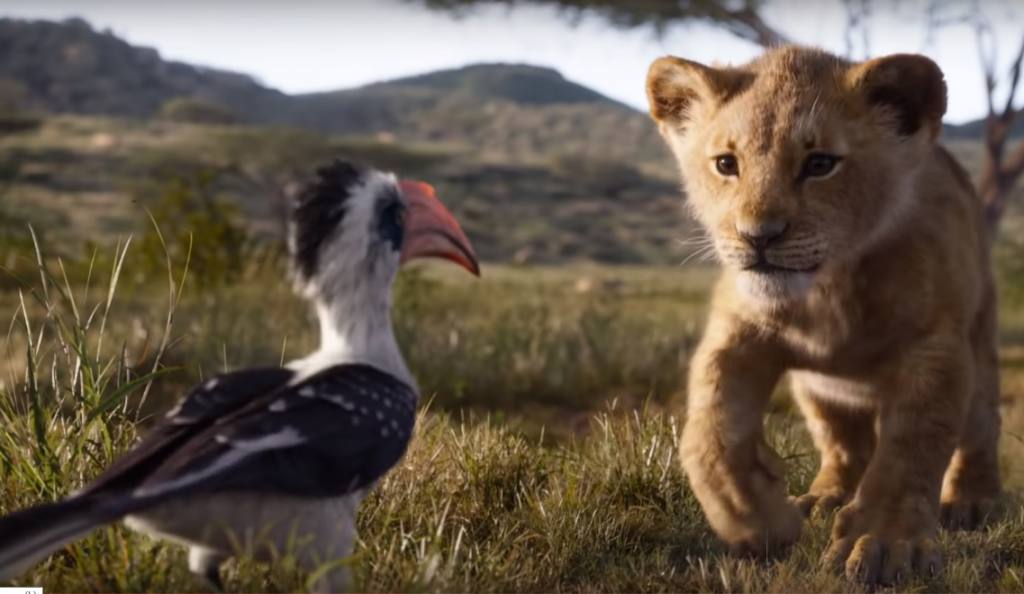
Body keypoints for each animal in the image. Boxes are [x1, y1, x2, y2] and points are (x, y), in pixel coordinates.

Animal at [645, 46, 1001, 585]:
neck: (827, 290)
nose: (759, 237)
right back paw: (823, 497)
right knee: (843, 445)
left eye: (820, 164)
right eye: (726, 164)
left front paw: (885, 544)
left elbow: (911, 450)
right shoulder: (738, 329)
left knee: (981, 428)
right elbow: (709, 431)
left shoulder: (934, 346)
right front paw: (757, 519)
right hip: (817, 391)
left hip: (979, 349)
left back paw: (972, 502)